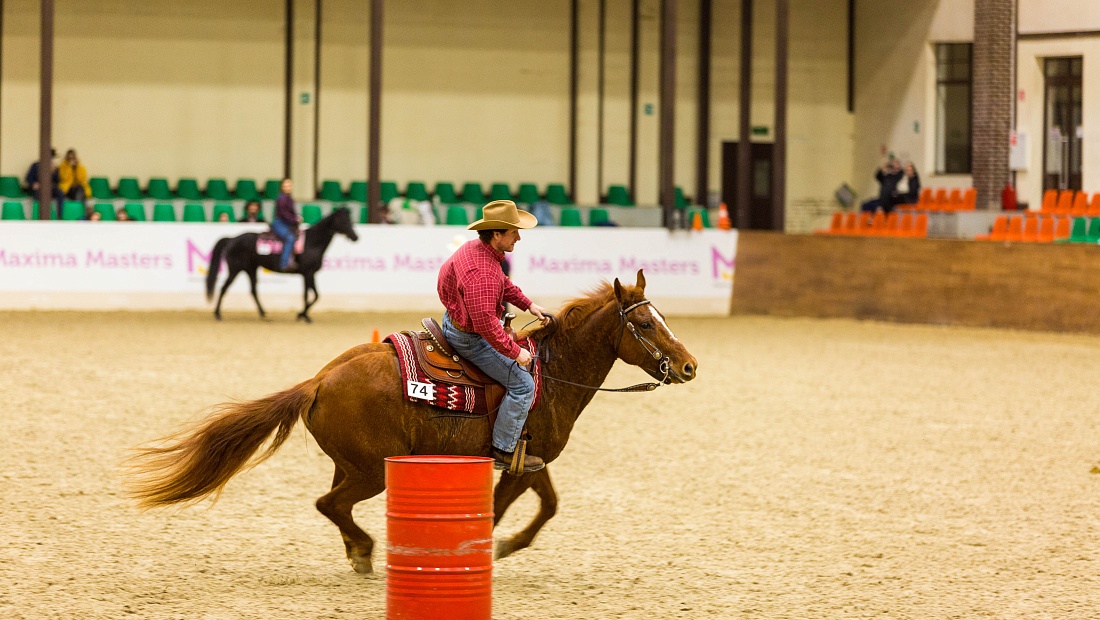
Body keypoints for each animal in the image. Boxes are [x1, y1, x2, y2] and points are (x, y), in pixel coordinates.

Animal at [128, 271, 695, 571]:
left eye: (662, 317)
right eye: (646, 324)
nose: (689, 366)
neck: (551, 373)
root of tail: (319, 380)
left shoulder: (529, 461)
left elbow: (550, 505)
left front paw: (507, 546)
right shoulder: (515, 464)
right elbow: (500, 511)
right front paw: (490, 548)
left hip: (350, 464)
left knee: (333, 504)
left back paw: (356, 550)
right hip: (371, 470)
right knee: (329, 504)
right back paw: (364, 551)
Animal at [204, 209, 358, 325]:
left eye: (350, 220)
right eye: (344, 220)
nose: (355, 237)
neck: (312, 242)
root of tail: (232, 239)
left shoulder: (308, 274)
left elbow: (311, 295)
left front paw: (302, 315)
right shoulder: (308, 273)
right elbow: (311, 295)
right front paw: (303, 315)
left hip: (251, 269)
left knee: (253, 290)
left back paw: (264, 314)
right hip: (236, 269)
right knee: (224, 288)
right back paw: (218, 314)